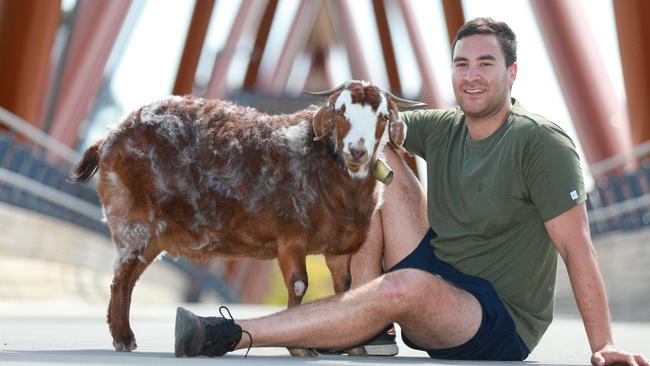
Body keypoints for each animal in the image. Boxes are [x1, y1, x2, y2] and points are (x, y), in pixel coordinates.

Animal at [71, 81, 422, 358]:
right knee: (121, 278)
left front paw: (354, 346)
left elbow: (344, 289)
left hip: (152, 234)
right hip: (134, 220)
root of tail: (109, 137)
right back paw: (123, 338)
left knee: (129, 279)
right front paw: (299, 346)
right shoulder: (291, 237)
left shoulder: (338, 249)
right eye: (341, 111)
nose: (357, 151)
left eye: (382, 117)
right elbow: (299, 285)